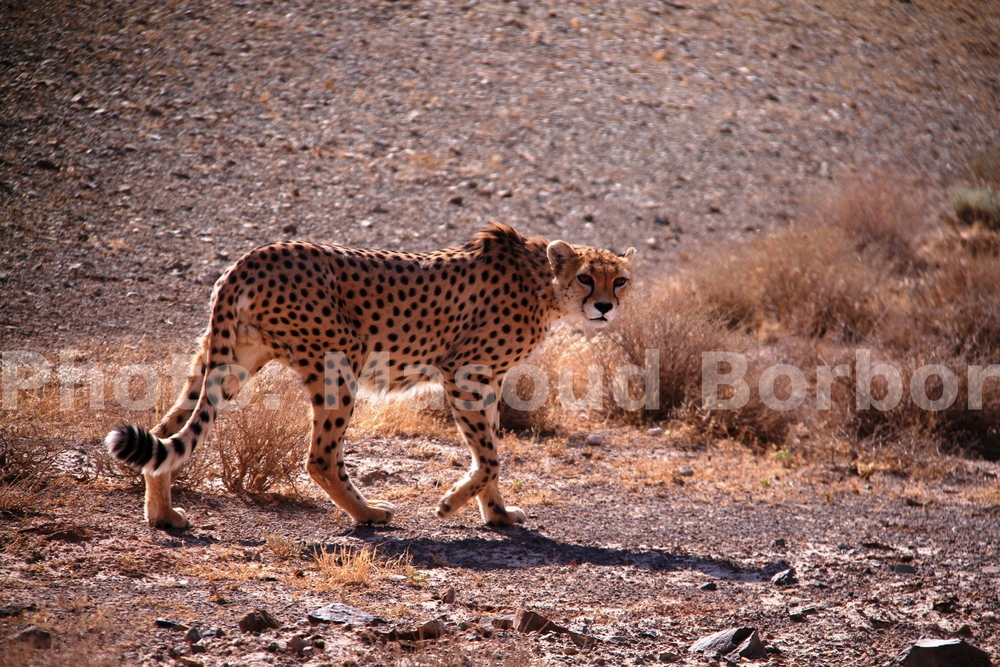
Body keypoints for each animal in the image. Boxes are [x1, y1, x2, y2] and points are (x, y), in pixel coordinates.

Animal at [106, 222, 634, 528]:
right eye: (586, 277)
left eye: (621, 280)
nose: (605, 307)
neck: (544, 283)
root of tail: (253, 256)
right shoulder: (464, 374)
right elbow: (489, 458)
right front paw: (449, 504)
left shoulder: (490, 381)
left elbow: (491, 453)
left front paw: (498, 514)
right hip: (341, 359)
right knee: (320, 458)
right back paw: (368, 512)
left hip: (228, 362)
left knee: (164, 432)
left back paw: (163, 515)